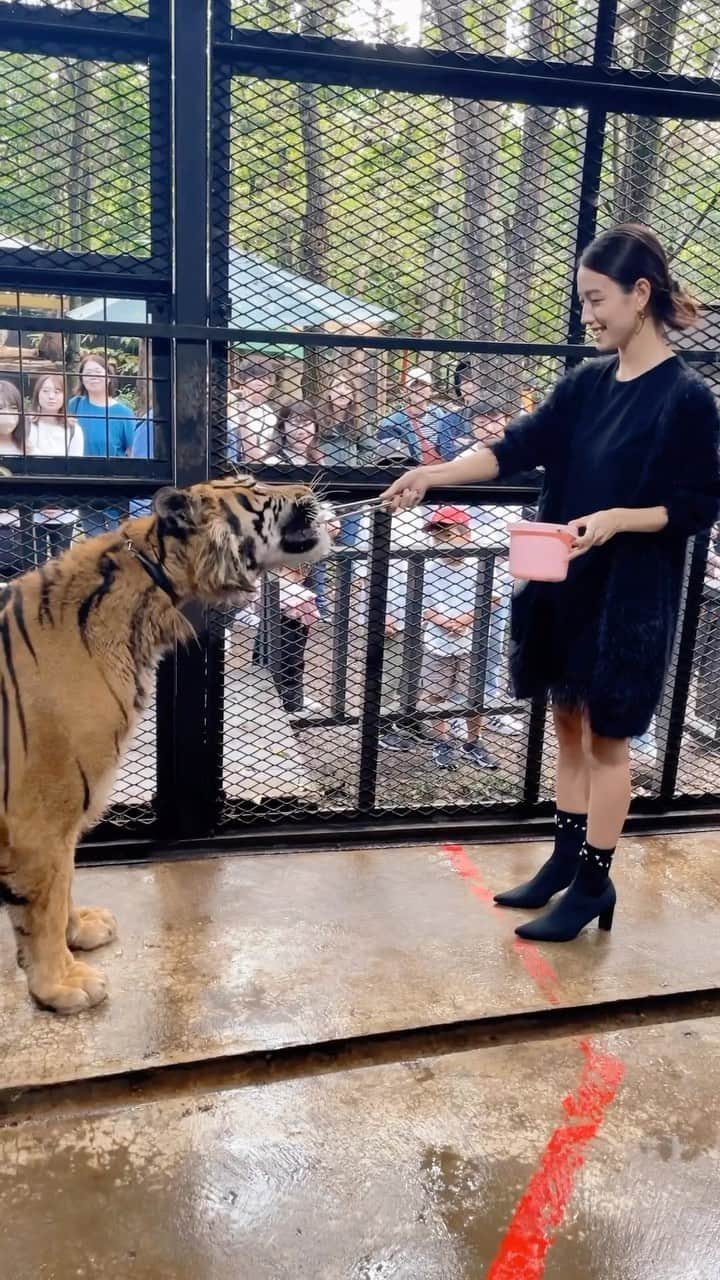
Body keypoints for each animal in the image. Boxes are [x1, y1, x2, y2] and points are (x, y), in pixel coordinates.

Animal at [0, 476, 330, 1013]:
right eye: (258, 489)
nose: (308, 485)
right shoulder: (40, 815)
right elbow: (43, 906)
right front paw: (61, 985)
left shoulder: (64, 816)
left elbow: (63, 884)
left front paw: (79, 932)